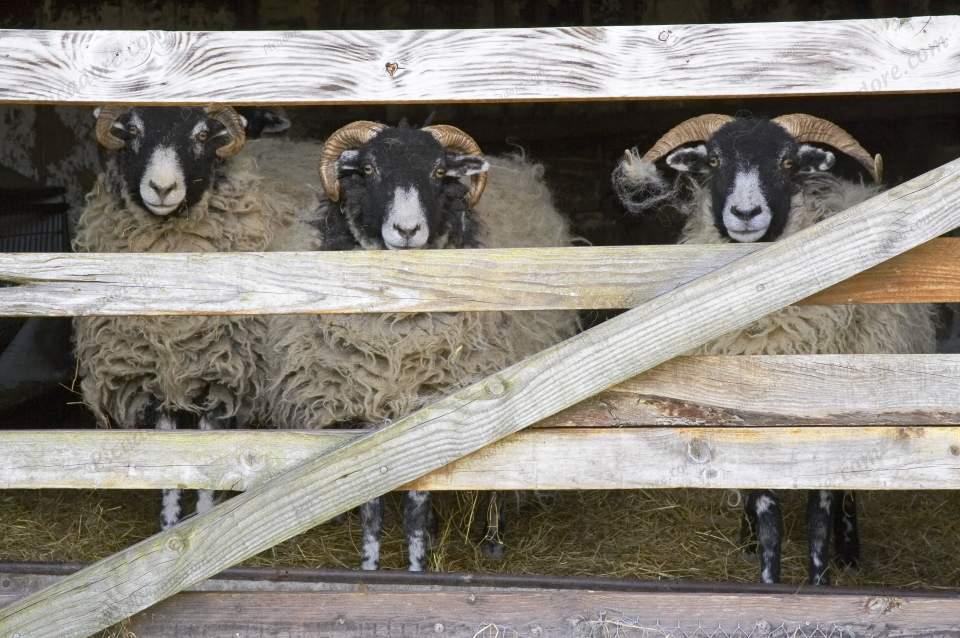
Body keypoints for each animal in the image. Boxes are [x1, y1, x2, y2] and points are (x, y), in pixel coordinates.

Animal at [72, 107, 298, 532]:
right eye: (132, 131)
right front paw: (169, 526)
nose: (162, 188)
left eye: (203, 135)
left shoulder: (221, 375)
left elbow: (209, 460)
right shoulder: (156, 377)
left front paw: (205, 522)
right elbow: (168, 461)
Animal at [260, 120, 576, 576]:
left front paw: (416, 567)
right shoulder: (363, 412)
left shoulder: (430, 403)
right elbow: (370, 505)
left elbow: (417, 505)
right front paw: (371, 567)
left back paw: (492, 538)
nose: (407, 231)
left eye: (439, 171)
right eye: (368, 169)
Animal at [612, 114, 932, 584]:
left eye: (787, 162)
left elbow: (820, 516)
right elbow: (768, 517)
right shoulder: (744, 418)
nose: (745, 214)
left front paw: (820, 580)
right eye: (713, 160)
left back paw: (849, 549)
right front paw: (766, 576)